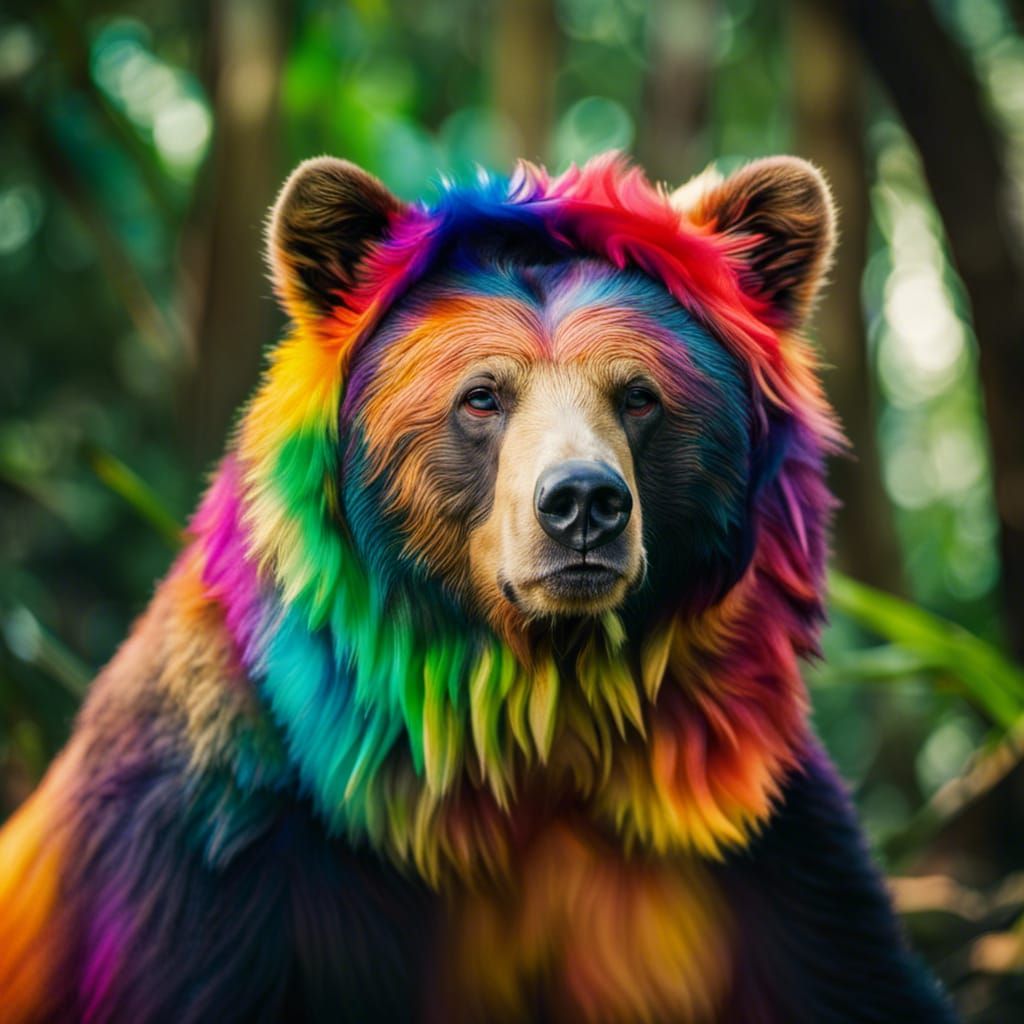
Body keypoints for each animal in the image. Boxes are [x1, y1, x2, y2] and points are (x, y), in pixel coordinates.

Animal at [0, 152, 957, 1023]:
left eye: (639, 395)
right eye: (483, 397)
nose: (582, 504)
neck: (525, 724)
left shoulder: (744, 843)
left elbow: (850, 971)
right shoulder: (225, 826)